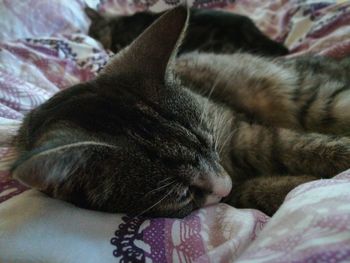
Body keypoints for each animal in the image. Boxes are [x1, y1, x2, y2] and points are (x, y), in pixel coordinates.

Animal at [10, 6, 350, 219]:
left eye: (210, 143)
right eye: (181, 194)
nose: (223, 184)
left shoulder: (242, 132)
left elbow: (298, 146)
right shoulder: (234, 190)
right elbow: (259, 190)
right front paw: (296, 185)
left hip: (306, 96)